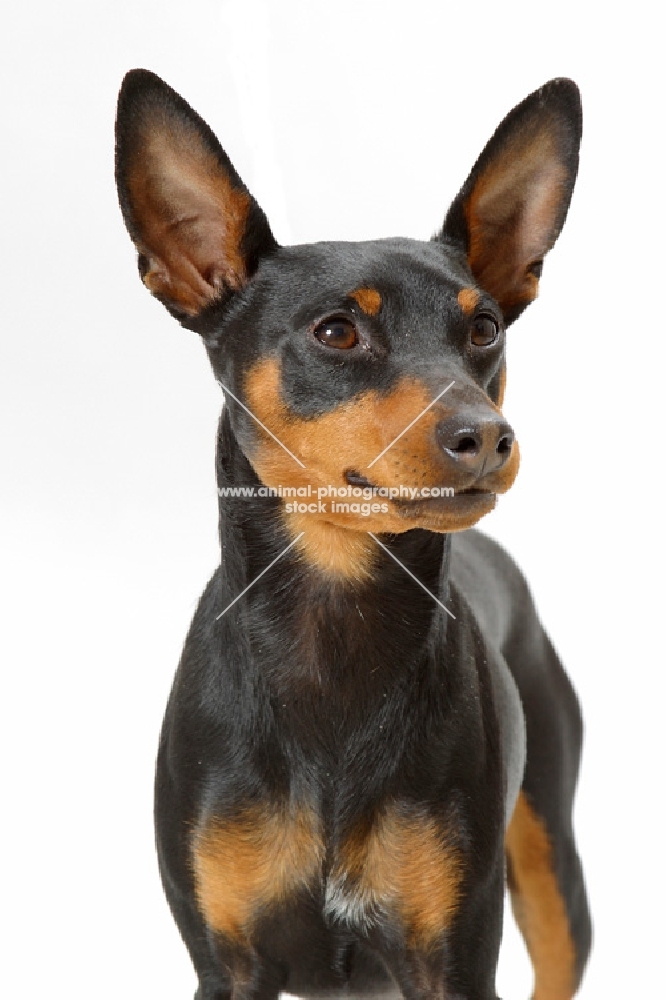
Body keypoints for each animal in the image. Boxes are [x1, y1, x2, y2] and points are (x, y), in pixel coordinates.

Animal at [115, 72, 592, 1000]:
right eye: (338, 331)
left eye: (485, 329)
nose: (487, 436)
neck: (333, 637)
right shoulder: (226, 965)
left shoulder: (452, 958)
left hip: (553, 872)